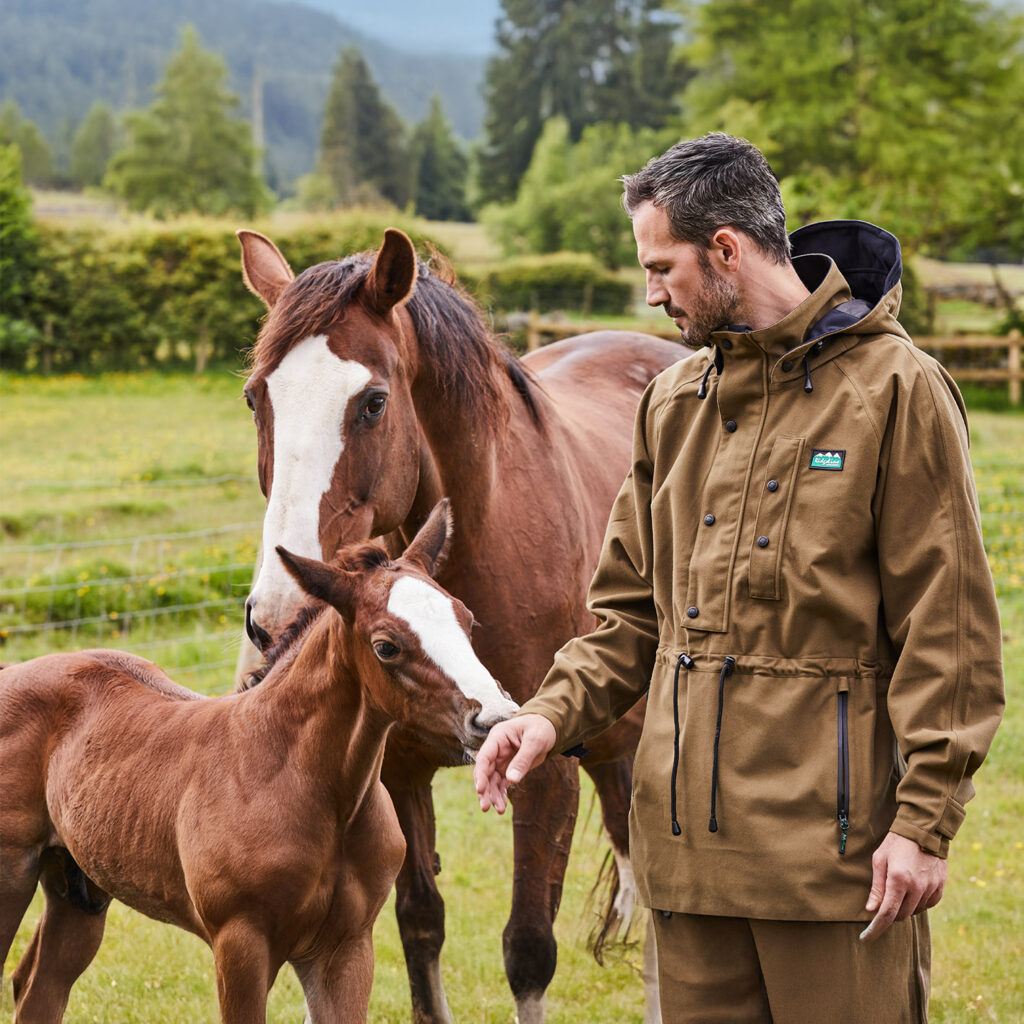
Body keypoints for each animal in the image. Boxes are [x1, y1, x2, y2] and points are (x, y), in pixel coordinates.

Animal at [0, 500, 518, 1024]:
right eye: (386, 646)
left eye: (468, 620)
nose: (495, 719)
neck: (306, 785)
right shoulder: (241, 944)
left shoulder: (347, 948)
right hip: (12, 875)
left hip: (78, 888)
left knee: (38, 986)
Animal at [236, 226, 683, 1023]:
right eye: (258, 396)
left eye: (374, 402)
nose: (275, 615)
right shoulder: (398, 771)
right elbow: (421, 925)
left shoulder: (542, 771)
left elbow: (529, 949)